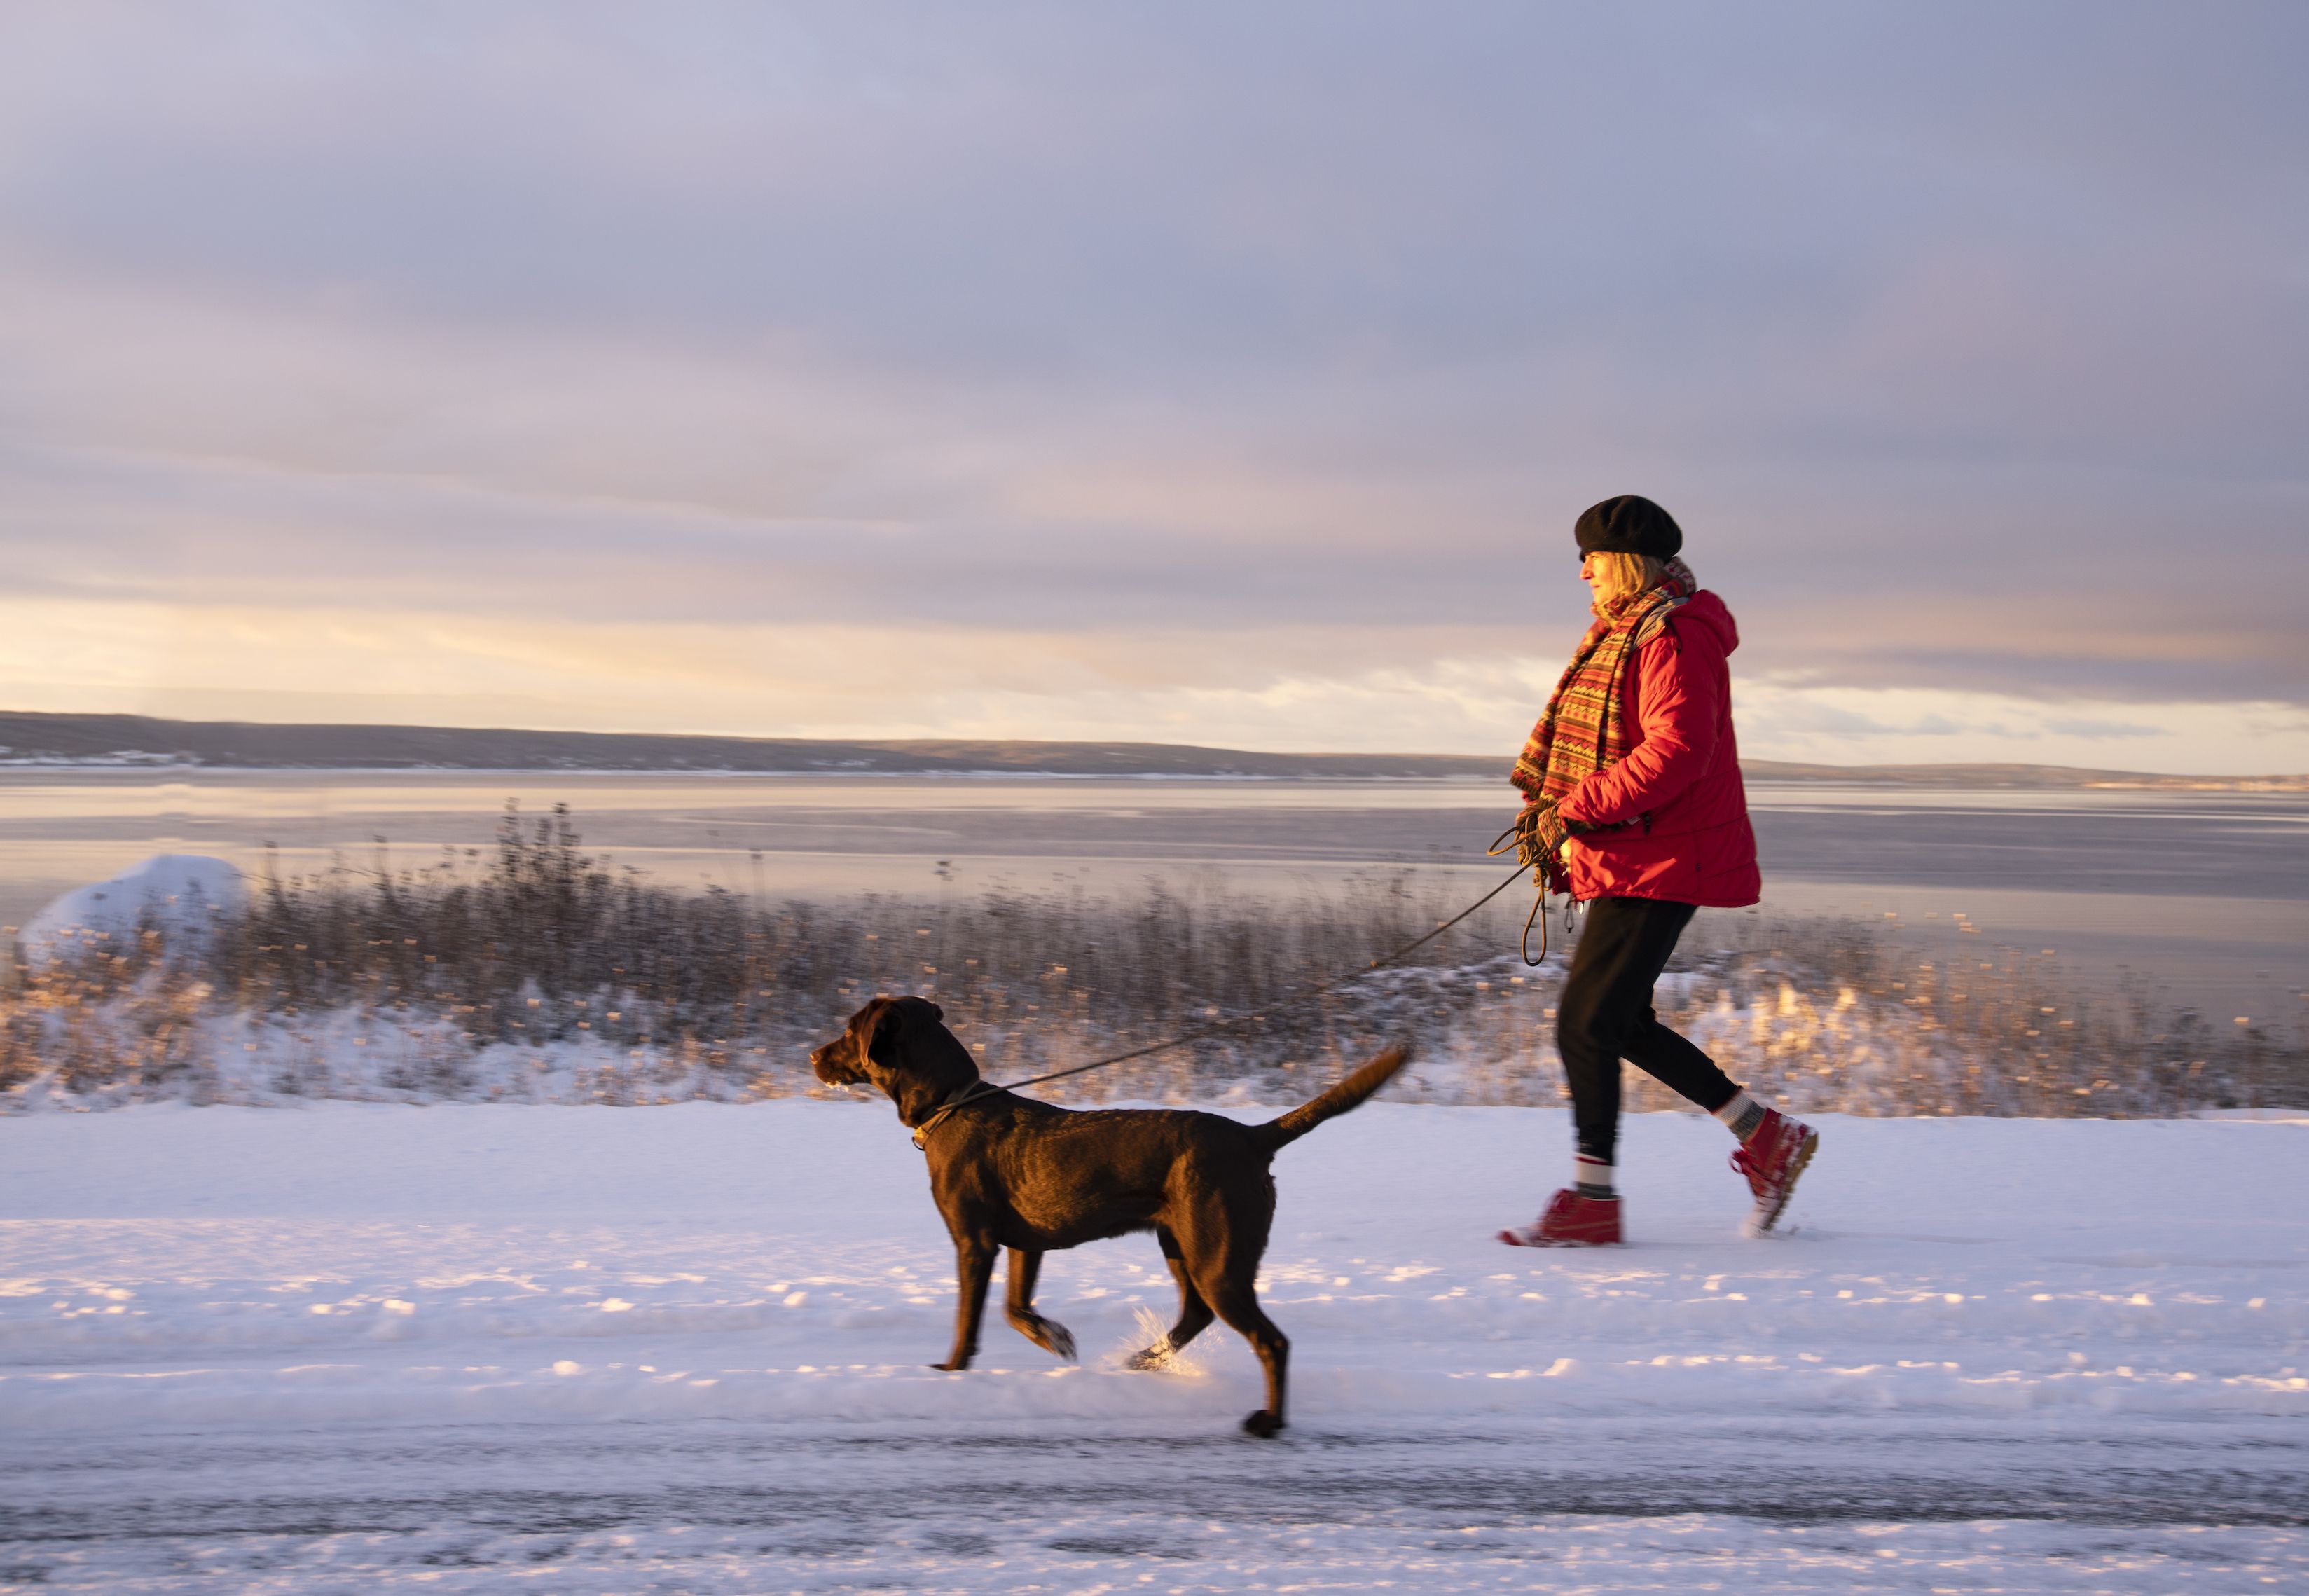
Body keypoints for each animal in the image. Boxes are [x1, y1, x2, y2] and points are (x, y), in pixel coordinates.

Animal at [813, 998, 1403, 1431]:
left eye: (849, 1029)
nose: (814, 1056)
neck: (949, 1105)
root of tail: (1253, 1137)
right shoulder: (1027, 1242)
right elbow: (1015, 1307)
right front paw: (1055, 1338)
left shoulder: (973, 1241)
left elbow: (969, 1319)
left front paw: (951, 1371)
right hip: (1181, 1245)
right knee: (1197, 1315)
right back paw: (1143, 1361)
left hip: (1216, 1256)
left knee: (1269, 1340)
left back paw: (1269, 1421)